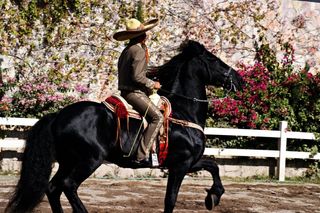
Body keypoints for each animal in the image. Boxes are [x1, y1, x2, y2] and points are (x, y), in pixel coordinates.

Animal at [5, 39, 242, 211]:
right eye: (213, 59)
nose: (239, 79)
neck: (184, 112)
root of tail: (58, 115)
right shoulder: (181, 165)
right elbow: (171, 199)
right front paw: (212, 196)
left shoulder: (189, 162)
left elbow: (213, 166)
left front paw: (213, 197)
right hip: (89, 160)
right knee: (67, 186)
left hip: (67, 161)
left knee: (53, 188)